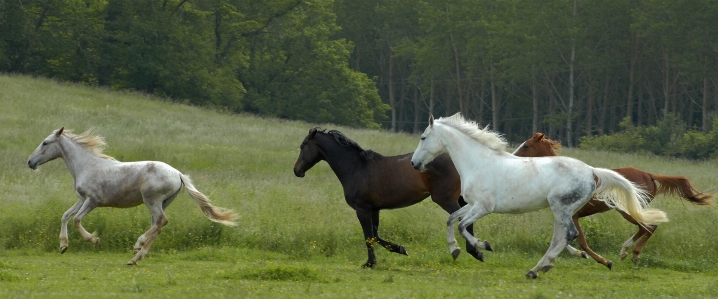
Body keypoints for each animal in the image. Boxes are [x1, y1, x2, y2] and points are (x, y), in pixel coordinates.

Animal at [27, 127, 239, 266]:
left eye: (45, 142)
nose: (30, 162)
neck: (87, 165)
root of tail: (178, 174)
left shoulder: (93, 201)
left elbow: (77, 220)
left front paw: (95, 240)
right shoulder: (81, 199)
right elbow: (65, 216)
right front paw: (63, 246)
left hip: (151, 200)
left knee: (161, 222)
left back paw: (137, 245)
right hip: (162, 202)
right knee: (158, 226)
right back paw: (135, 257)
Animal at [294, 127, 490, 268]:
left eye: (303, 146)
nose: (297, 171)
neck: (356, 168)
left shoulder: (362, 209)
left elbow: (369, 236)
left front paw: (370, 263)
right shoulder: (374, 209)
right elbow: (375, 235)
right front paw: (400, 249)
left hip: (445, 199)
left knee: (462, 220)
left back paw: (471, 251)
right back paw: (476, 250)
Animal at [410, 115, 668, 278]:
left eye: (423, 137)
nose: (414, 164)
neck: (479, 162)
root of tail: (592, 171)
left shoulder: (483, 207)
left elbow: (463, 226)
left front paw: (484, 247)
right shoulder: (472, 205)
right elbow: (451, 219)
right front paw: (455, 250)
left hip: (560, 208)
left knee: (569, 235)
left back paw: (539, 269)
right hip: (562, 211)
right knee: (560, 238)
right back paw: (539, 268)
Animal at [516, 133, 716, 270]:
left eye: (526, 146)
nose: (514, 156)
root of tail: (649, 174)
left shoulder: (573, 216)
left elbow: (580, 240)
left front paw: (603, 261)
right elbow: (566, 240)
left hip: (627, 210)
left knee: (649, 227)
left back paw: (633, 254)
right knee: (645, 228)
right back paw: (625, 251)